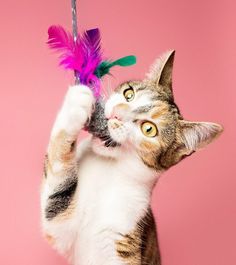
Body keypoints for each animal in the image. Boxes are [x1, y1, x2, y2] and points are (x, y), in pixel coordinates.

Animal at [40, 50, 223, 262]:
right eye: (129, 94)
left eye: (149, 129)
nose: (115, 114)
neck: (108, 169)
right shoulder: (62, 228)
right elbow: (56, 192)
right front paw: (73, 105)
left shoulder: (123, 236)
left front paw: (78, 102)